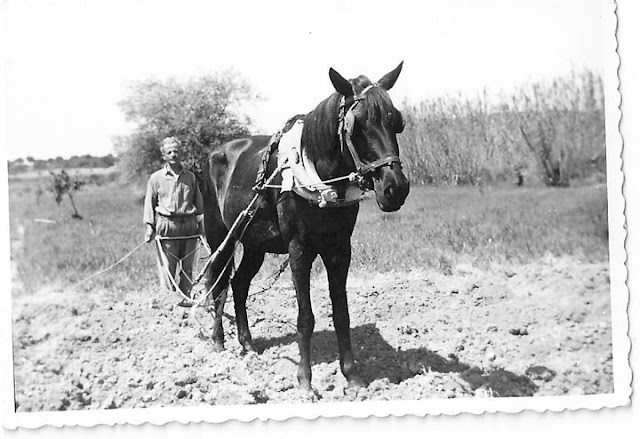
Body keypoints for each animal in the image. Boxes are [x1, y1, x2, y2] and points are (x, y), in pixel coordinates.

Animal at [201, 62, 410, 392]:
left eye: (397, 122)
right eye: (356, 125)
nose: (395, 188)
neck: (319, 180)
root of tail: (213, 153)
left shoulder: (340, 250)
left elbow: (341, 314)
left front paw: (352, 376)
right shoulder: (299, 250)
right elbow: (306, 318)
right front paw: (305, 381)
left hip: (254, 245)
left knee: (239, 284)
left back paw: (247, 344)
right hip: (221, 238)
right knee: (218, 284)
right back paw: (219, 341)